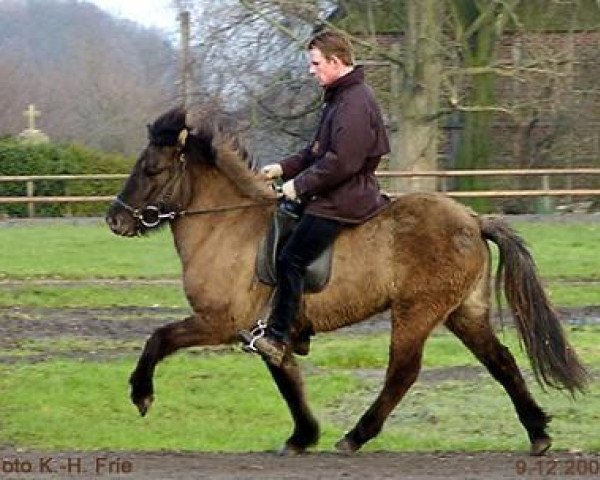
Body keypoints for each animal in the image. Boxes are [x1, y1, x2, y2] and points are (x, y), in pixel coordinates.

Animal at [105, 107, 588, 456]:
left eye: (151, 168)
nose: (114, 219)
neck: (226, 225)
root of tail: (472, 217)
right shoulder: (265, 329)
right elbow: (287, 379)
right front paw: (302, 436)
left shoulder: (220, 321)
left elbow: (159, 338)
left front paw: (141, 394)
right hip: (465, 312)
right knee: (500, 361)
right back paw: (538, 433)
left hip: (417, 311)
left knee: (403, 372)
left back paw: (357, 435)